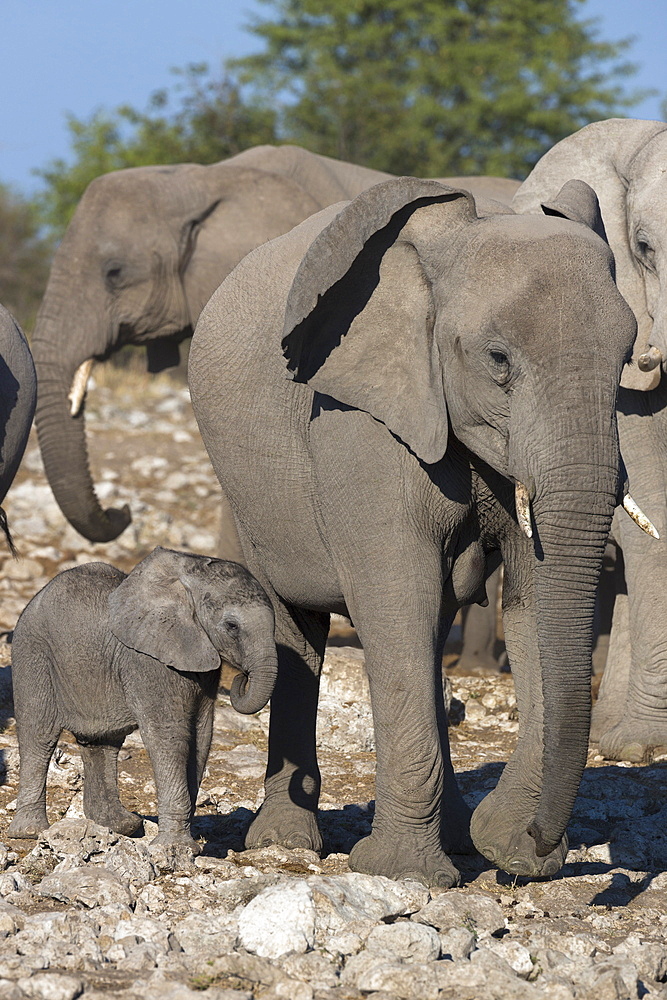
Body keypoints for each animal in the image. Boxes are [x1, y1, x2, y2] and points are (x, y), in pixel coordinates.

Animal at [6, 548, 276, 852]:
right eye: (232, 626)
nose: (242, 677)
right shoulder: (148, 661)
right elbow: (170, 734)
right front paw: (175, 849)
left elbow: (201, 734)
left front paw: (183, 842)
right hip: (32, 650)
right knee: (39, 734)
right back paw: (30, 832)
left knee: (103, 741)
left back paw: (120, 826)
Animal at [187, 176, 648, 888]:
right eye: (498, 358)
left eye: (627, 357)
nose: (538, 844)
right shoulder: (358, 416)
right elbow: (396, 594)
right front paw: (401, 872)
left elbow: (533, 601)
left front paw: (498, 847)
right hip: (247, 488)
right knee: (297, 622)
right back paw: (284, 844)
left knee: (433, 627)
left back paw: (454, 835)